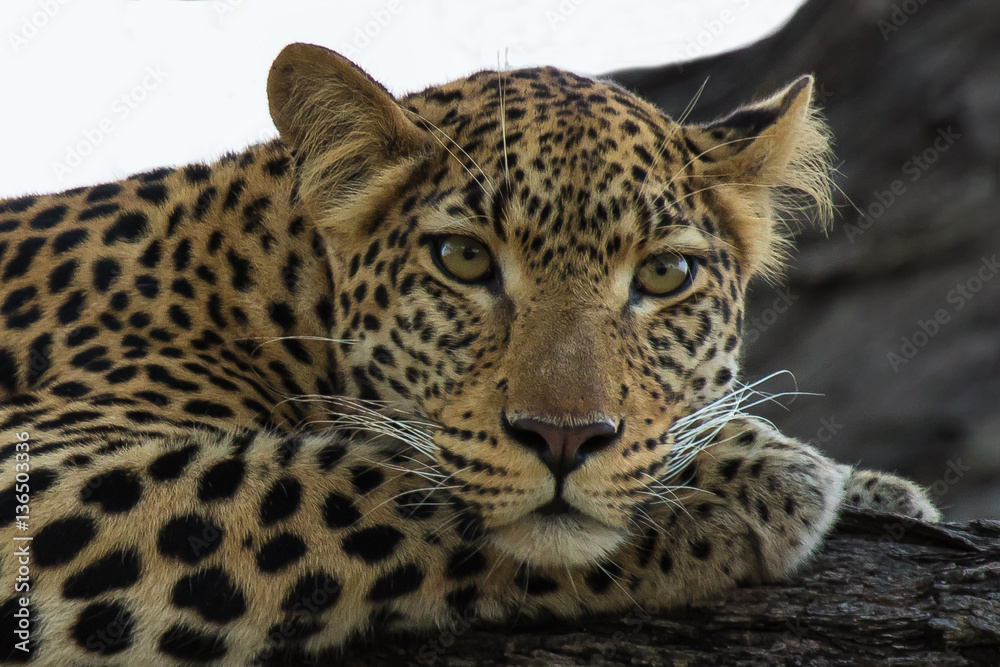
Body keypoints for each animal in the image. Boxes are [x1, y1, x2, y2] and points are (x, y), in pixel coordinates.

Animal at [0, 43, 939, 665]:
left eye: (664, 275)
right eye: (463, 259)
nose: (565, 438)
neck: (261, 290)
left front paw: (862, 483)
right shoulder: (39, 468)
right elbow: (344, 480)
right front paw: (737, 482)